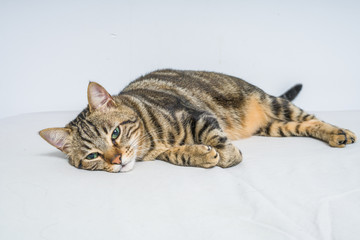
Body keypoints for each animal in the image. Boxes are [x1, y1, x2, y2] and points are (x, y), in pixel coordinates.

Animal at [40, 69, 358, 172]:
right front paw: (200, 155)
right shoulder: (164, 151)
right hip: (276, 127)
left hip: (273, 104)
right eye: (92, 155)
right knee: (302, 126)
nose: (116, 160)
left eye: (115, 133)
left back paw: (339, 132)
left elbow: (215, 137)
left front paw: (228, 156)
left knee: (312, 120)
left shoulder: (197, 116)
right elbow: (177, 154)